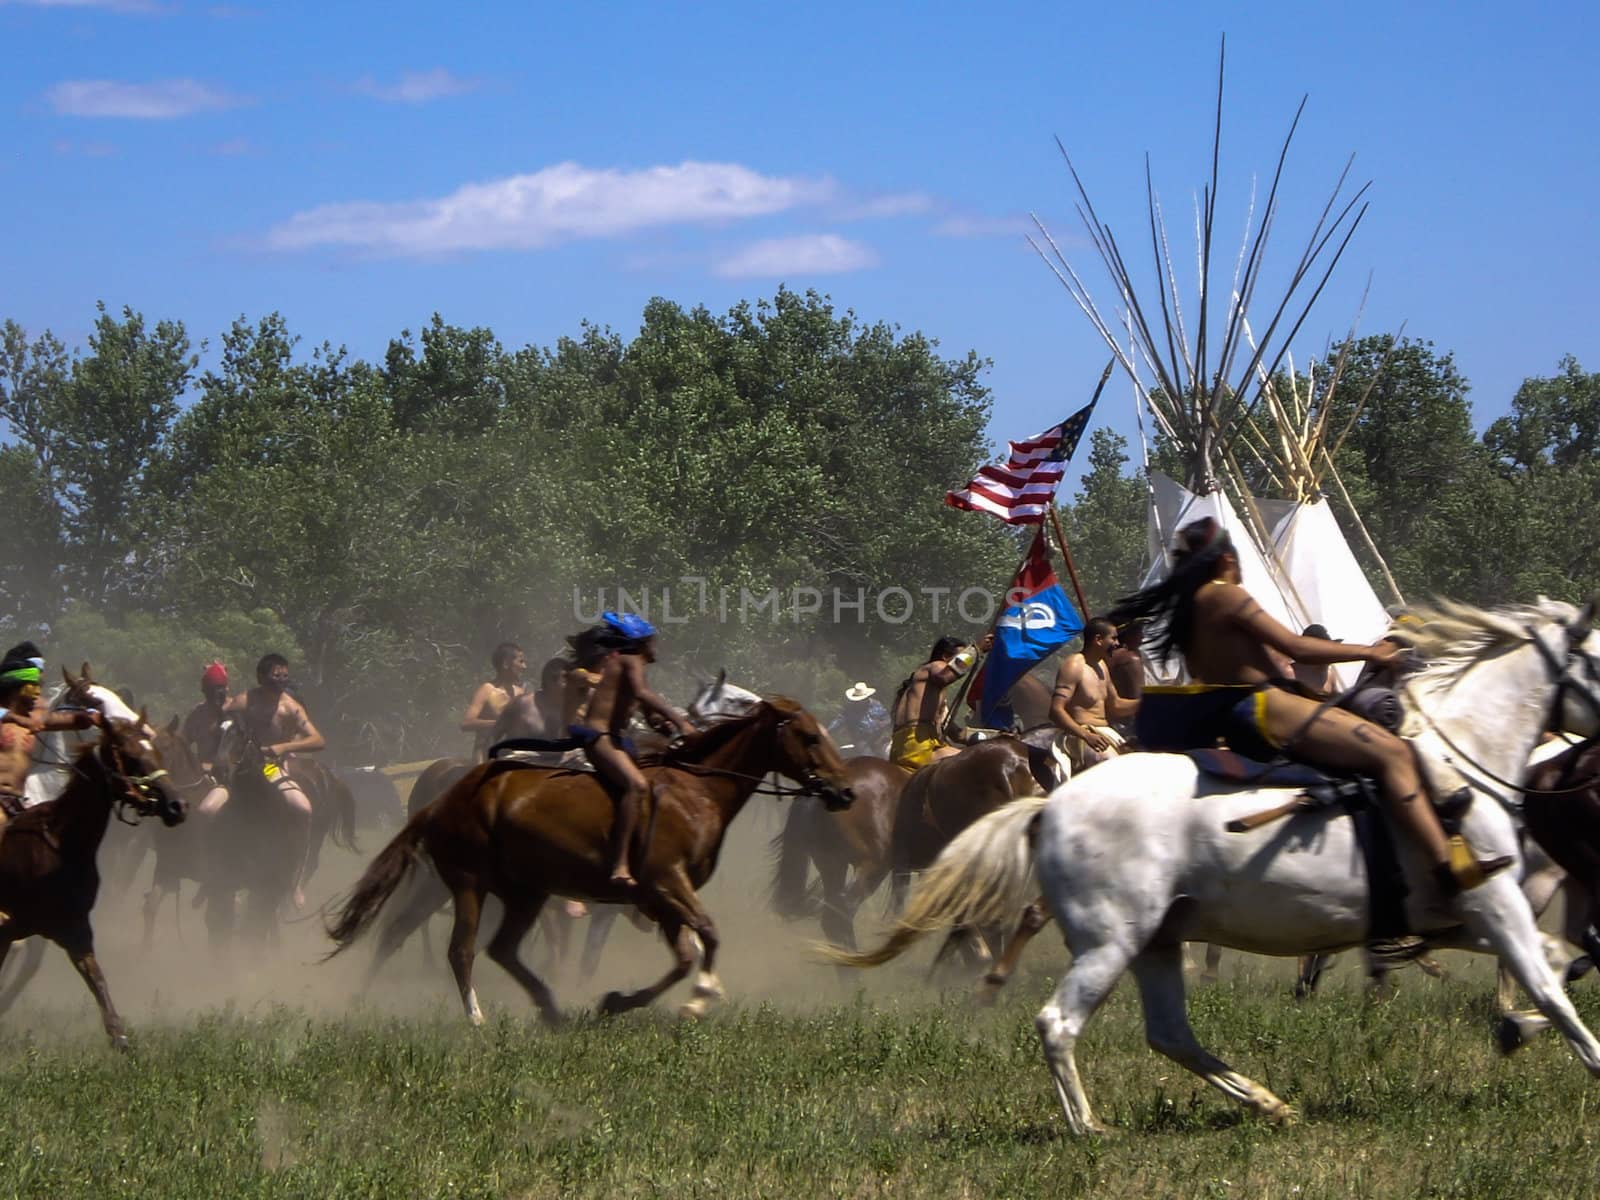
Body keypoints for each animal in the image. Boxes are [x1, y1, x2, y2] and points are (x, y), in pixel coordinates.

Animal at [321, 700, 851, 1030]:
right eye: (808, 736)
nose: (844, 791)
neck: (694, 790)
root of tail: (443, 798)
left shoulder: (657, 900)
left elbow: (684, 954)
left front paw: (620, 1001)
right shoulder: (667, 883)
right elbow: (706, 936)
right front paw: (698, 998)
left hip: (523, 894)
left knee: (497, 948)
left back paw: (550, 1008)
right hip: (467, 885)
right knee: (459, 949)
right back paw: (476, 1017)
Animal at [825, 601, 1600, 1139]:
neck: (1459, 761)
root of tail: (1050, 802)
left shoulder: (1467, 914)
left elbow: (1560, 964)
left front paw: (1514, 1026)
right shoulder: (1495, 905)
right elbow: (1553, 987)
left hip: (1155, 941)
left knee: (1167, 1031)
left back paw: (1266, 1101)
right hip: (1112, 942)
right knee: (1057, 1021)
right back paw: (1088, 1124)